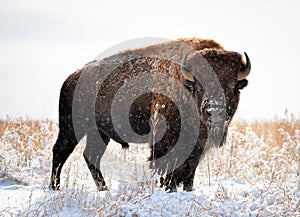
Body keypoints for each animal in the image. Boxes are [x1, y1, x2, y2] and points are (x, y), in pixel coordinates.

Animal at [49, 37, 251, 192]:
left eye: (233, 86)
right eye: (200, 84)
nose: (215, 110)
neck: (186, 84)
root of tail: (72, 78)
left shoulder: (197, 147)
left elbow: (189, 170)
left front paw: (188, 190)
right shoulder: (164, 140)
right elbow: (167, 167)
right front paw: (168, 189)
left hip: (99, 133)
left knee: (91, 156)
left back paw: (103, 189)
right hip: (71, 128)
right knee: (60, 151)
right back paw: (55, 188)